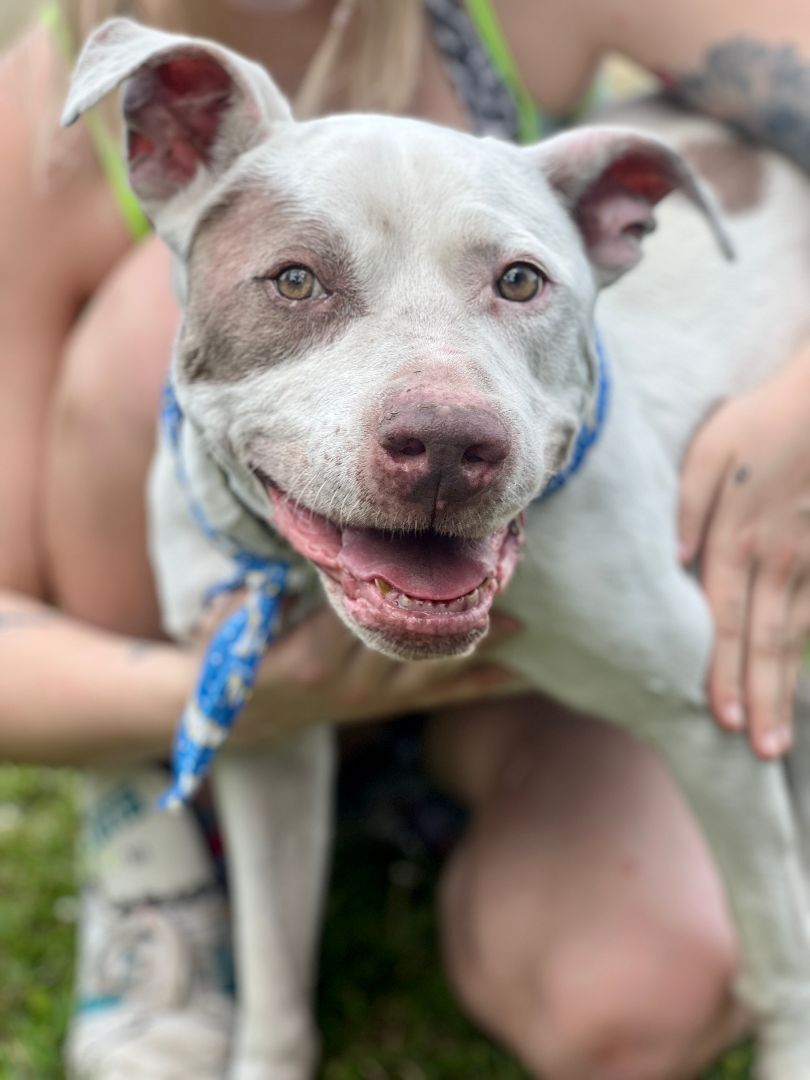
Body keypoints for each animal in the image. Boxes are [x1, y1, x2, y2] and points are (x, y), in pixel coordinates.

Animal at [65, 16, 810, 1080]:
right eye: (295, 279)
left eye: (520, 280)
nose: (451, 445)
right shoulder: (267, 737)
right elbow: (274, 973)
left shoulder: (707, 721)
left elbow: (778, 954)